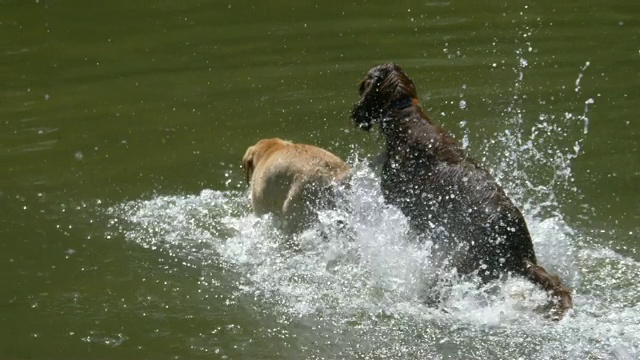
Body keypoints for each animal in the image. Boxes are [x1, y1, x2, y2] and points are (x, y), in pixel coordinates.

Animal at [352, 63, 572, 320]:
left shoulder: (409, 209)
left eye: (362, 86)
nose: (355, 114)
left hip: (463, 263)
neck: (405, 115)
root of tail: (521, 255)